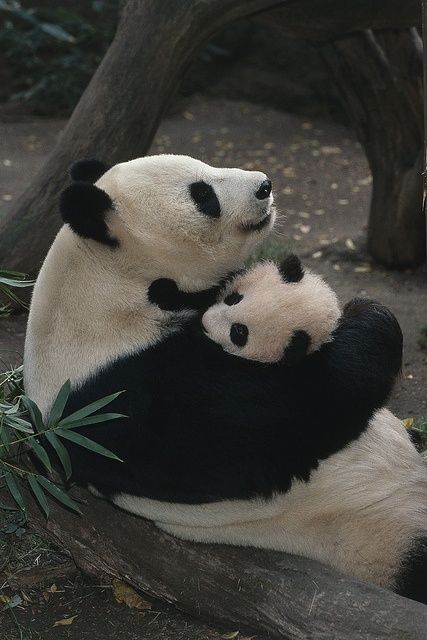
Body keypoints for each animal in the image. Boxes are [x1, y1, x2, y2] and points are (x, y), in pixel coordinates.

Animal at [25, 156, 426, 604]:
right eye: (204, 196)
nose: (265, 186)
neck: (105, 280)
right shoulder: (124, 398)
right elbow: (285, 417)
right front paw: (361, 324)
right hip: (376, 533)